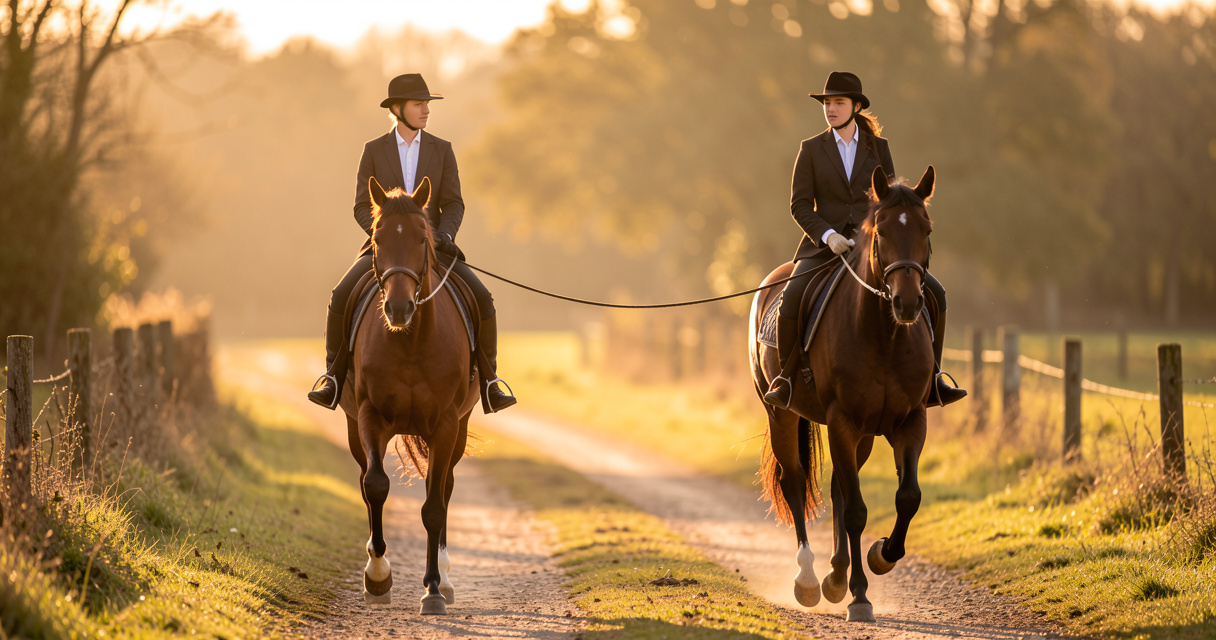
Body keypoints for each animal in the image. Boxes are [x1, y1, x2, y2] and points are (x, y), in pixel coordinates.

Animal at [338, 175, 480, 615]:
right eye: (378, 237)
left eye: (422, 237)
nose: (398, 308)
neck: (411, 341)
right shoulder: (369, 416)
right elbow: (375, 485)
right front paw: (377, 575)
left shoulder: (447, 424)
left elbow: (434, 507)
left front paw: (433, 589)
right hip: (354, 425)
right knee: (365, 478)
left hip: (459, 430)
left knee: (445, 487)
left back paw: (446, 580)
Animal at [749, 165, 937, 623]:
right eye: (881, 231)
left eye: (926, 229)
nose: (907, 304)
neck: (884, 334)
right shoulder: (841, 421)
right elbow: (855, 510)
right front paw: (860, 596)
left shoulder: (910, 420)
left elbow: (908, 497)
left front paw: (882, 555)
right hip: (782, 414)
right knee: (796, 482)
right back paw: (809, 579)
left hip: (865, 433)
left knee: (836, 485)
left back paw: (835, 575)